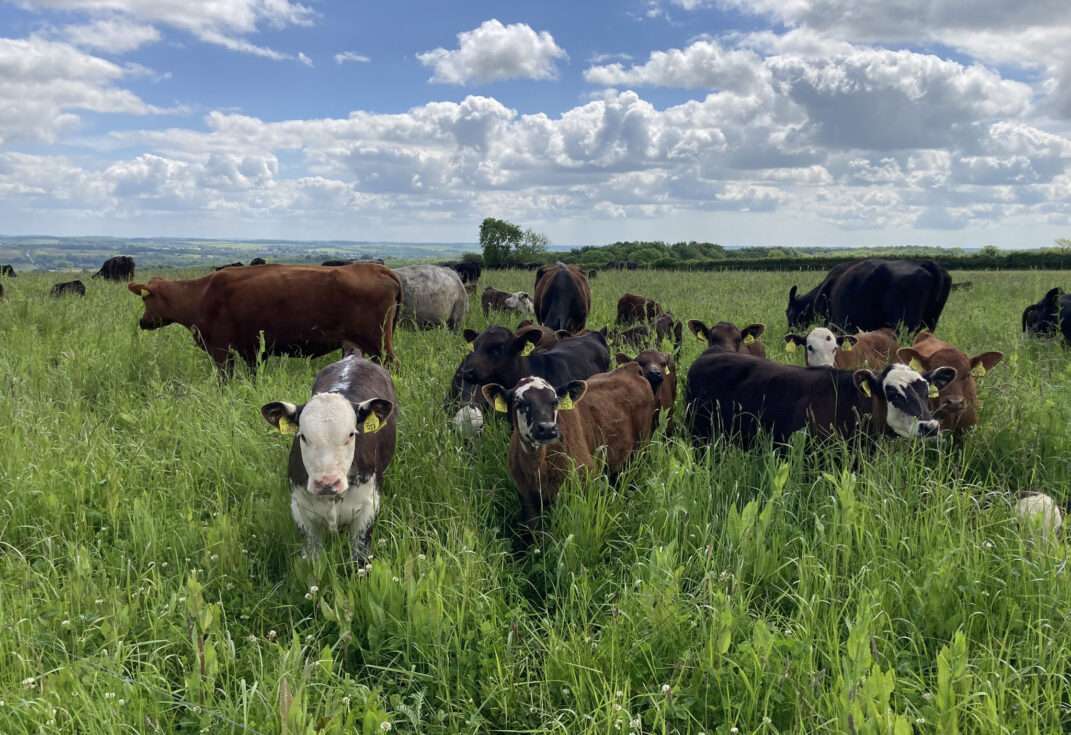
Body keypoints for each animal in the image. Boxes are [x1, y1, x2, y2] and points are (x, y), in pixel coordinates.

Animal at [128, 263, 402, 373]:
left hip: (378, 342)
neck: (201, 294)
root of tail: (374, 267)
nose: (143, 322)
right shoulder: (251, 351)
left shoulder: (220, 350)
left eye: (145, 299)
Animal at [260, 349, 396, 564]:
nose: (327, 483)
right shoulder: (300, 511)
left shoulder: (369, 507)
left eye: (351, 434)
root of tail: (354, 356)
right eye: (303, 436)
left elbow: (360, 559)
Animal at [481, 364, 656, 542]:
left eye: (555, 402)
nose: (547, 428)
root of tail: (629, 367)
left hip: (641, 450)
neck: (538, 467)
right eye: (520, 403)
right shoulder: (526, 495)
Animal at [786, 259, 951, 333]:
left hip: (905, 323)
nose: (789, 332)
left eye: (788, 313)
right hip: (930, 321)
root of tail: (922, 263)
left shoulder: (832, 322)